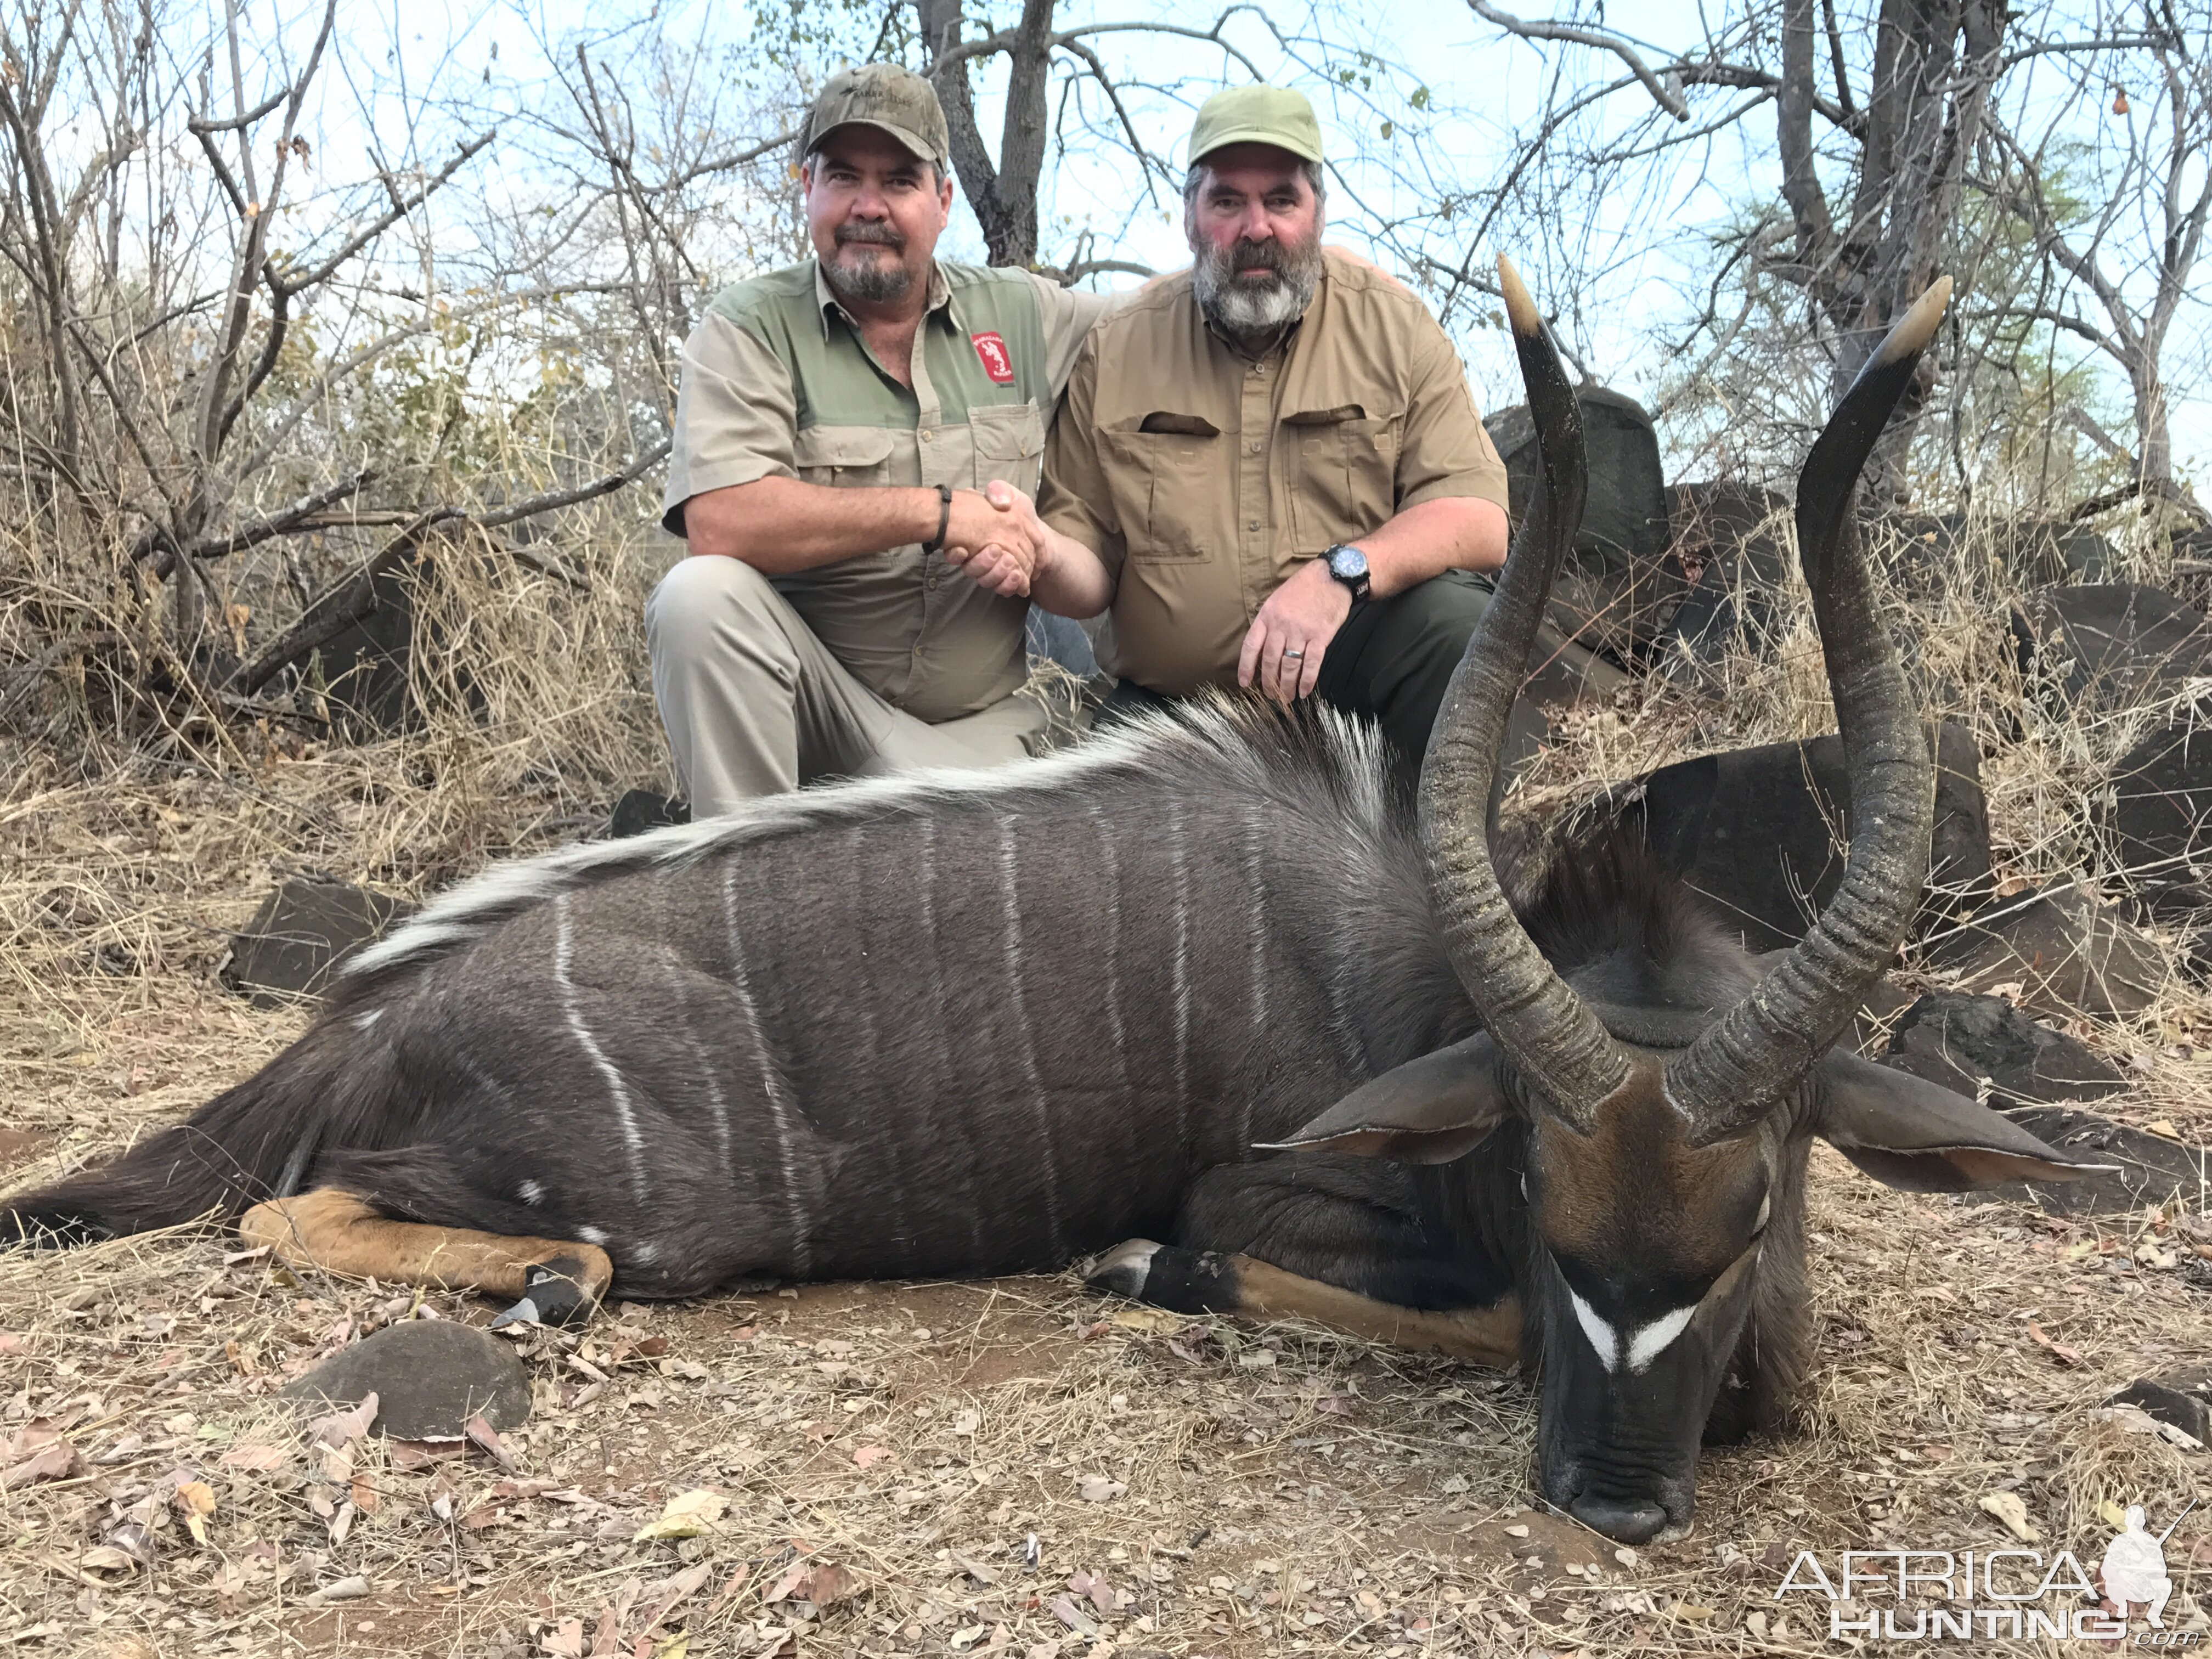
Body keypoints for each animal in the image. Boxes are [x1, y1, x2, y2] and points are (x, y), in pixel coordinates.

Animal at [0, 256, 2097, 1548]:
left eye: (1756, 1212)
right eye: (1534, 1184)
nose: (1615, 1497)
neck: (1418, 973)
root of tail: (356, 1021)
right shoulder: (1272, 1190)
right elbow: (1361, 1284)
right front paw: (1137, 1269)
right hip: (648, 1207)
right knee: (311, 1217)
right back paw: (546, 1283)